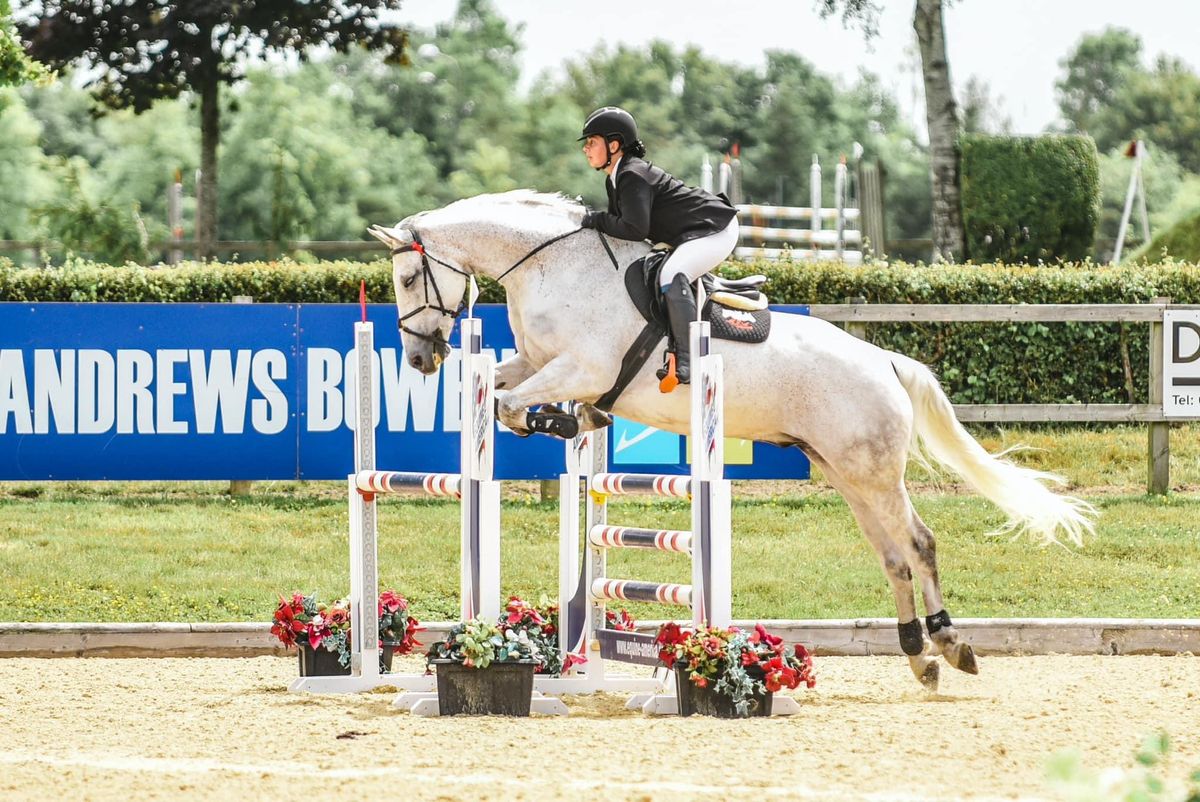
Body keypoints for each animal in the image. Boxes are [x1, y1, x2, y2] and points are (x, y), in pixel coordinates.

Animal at [367, 189, 1099, 691]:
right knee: (893, 555)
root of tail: (887, 362)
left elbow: (514, 405)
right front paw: (572, 420)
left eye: (406, 278)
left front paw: (567, 421)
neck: (552, 264)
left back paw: (951, 645)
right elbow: (504, 388)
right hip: (846, 471)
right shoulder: (541, 362)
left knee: (917, 544)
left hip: (871, 471)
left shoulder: (583, 367)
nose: (422, 359)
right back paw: (920, 655)